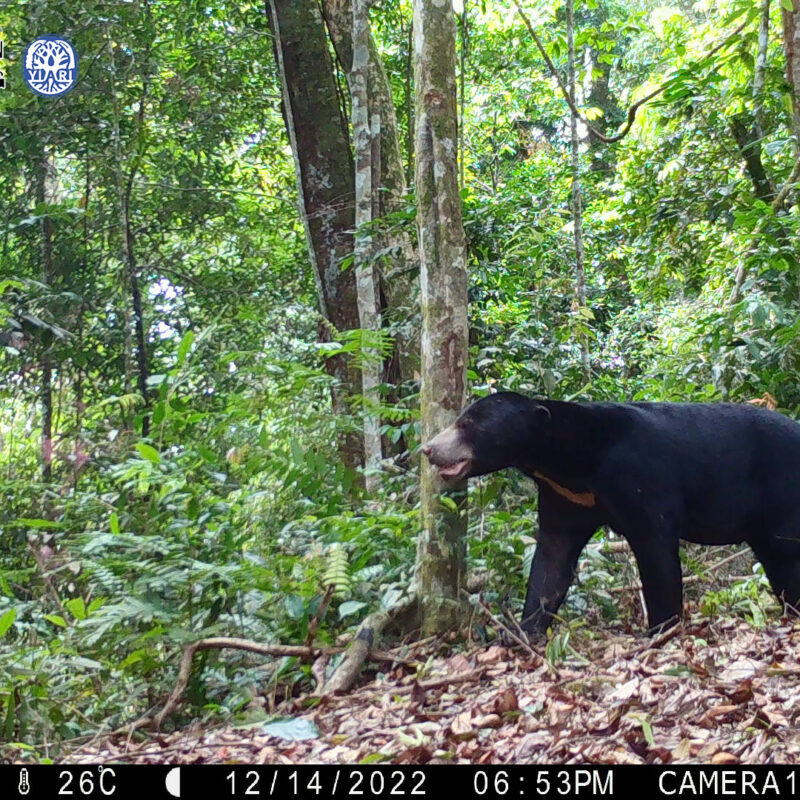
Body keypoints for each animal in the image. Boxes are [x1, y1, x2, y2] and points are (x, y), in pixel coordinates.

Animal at [421, 391, 800, 635]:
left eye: (468, 424)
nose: (428, 448)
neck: (573, 460)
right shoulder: (567, 498)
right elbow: (552, 560)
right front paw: (524, 632)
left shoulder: (640, 477)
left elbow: (656, 549)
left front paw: (660, 628)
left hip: (782, 493)